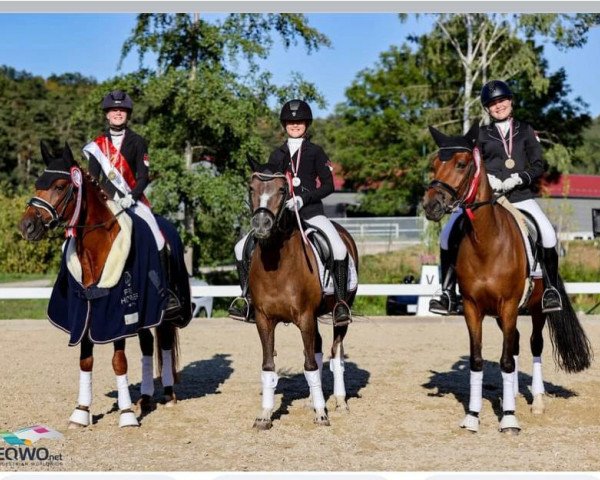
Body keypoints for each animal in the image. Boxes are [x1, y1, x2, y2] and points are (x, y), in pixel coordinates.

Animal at [19, 142, 191, 428]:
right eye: (37, 183)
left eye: (60, 186)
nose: (27, 226)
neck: (95, 248)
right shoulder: (86, 311)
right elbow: (86, 360)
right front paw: (81, 412)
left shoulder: (117, 315)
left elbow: (119, 362)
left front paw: (127, 415)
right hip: (144, 315)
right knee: (147, 346)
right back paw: (146, 398)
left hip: (163, 314)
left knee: (164, 344)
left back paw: (167, 394)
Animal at [246, 161, 358, 432]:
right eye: (251, 187)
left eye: (282, 189)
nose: (261, 225)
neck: (276, 265)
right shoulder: (264, 320)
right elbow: (269, 366)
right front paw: (264, 415)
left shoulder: (305, 317)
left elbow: (310, 365)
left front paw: (321, 415)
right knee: (317, 349)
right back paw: (313, 400)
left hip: (341, 313)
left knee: (335, 354)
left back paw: (339, 401)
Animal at [422, 124, 592, 436]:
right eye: (435, 163)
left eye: (461, 164)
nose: (431, 205)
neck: (486, 242)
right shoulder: (473, 308)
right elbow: (478, 360)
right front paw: (473, 416)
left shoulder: (510, 305)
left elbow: (505, 360)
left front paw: (510, 419)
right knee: (513, 345)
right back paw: (510, 394)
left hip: (535, 309)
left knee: (534, 345)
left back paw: (536, 401)